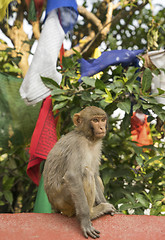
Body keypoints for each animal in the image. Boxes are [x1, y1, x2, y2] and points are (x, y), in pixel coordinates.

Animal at [43, 106, 116, 238]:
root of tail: (55, 206)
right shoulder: (77, 145)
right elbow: (72, 176)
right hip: (65, 201)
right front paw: (86, 220)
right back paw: (93, 213)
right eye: (95, 120)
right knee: (86, 173)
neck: (88, 138)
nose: (102, 127)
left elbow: (95, 174)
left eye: (102, 120)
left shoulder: (97, 145)